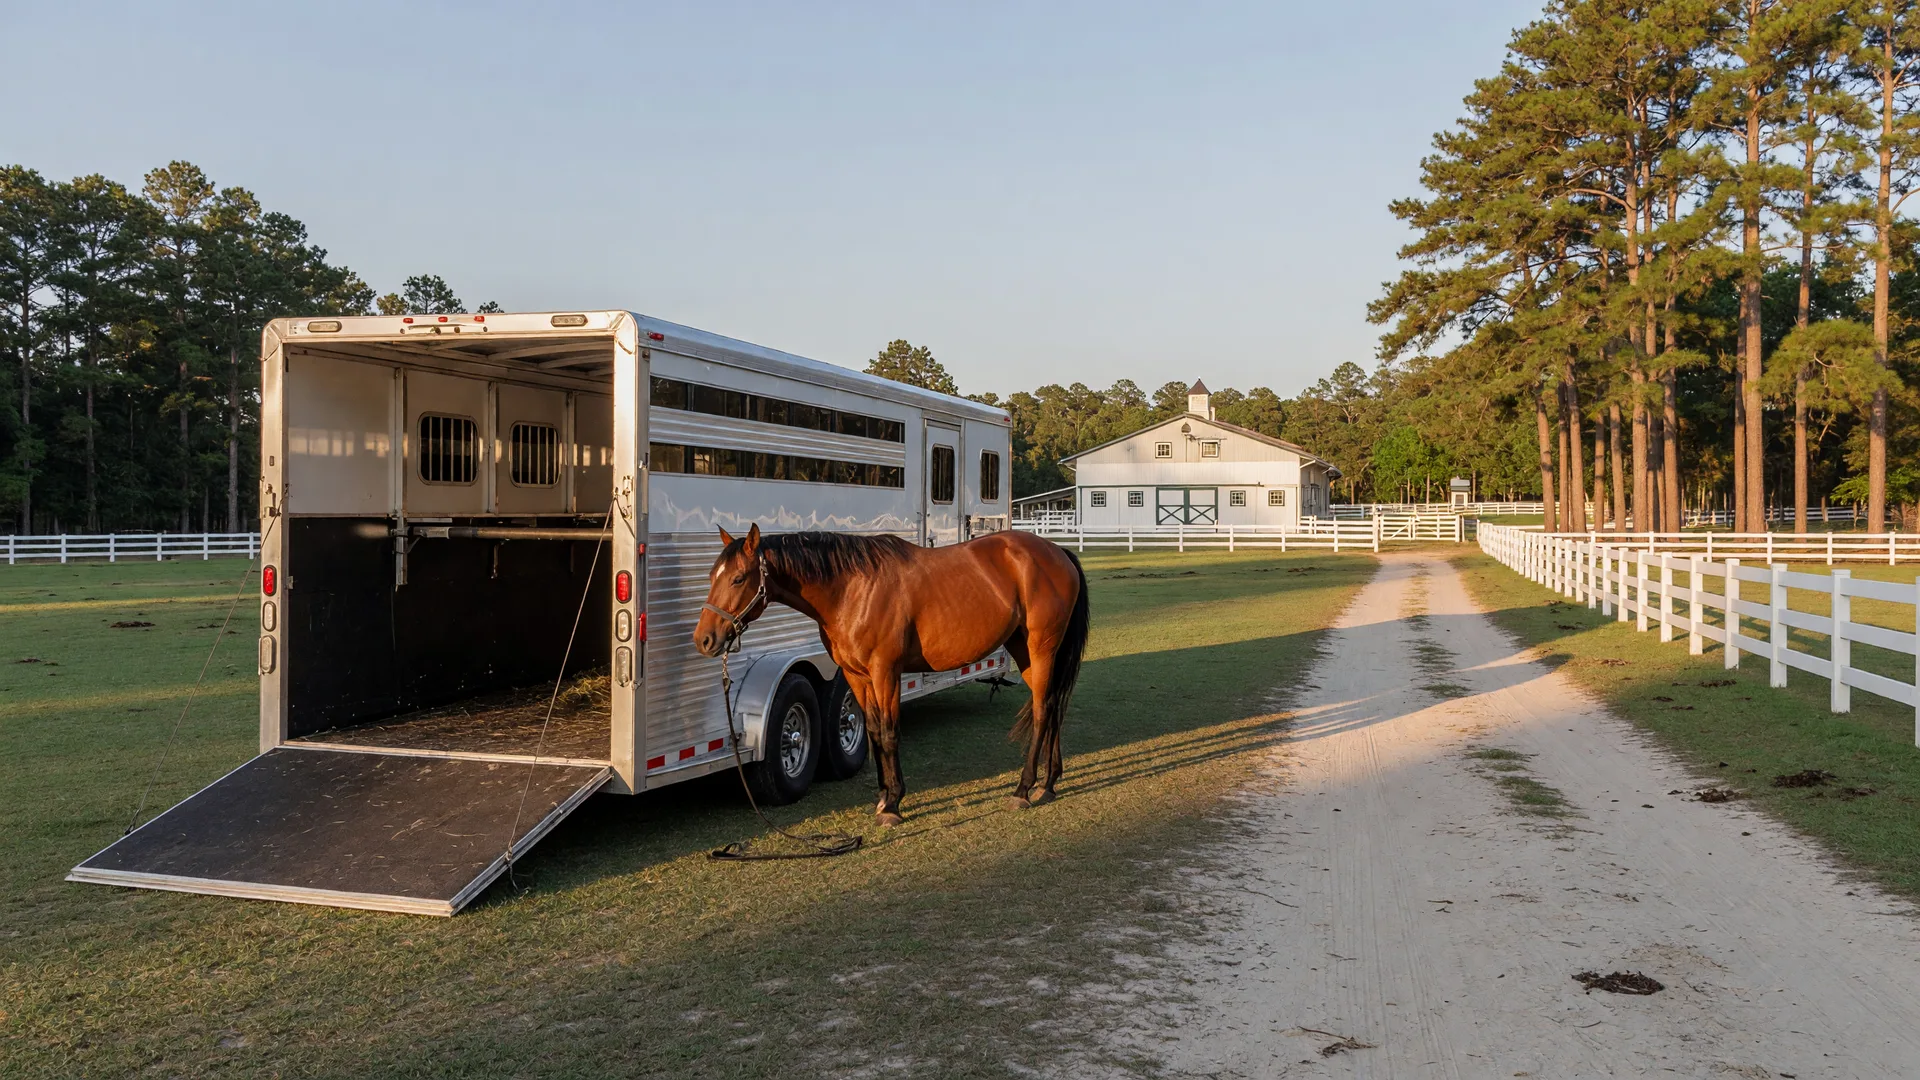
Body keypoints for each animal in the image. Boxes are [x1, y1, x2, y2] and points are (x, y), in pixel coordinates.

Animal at [693, 525, 1090, 827]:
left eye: (738, 578)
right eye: (712, 577)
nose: (704, 639)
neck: (852, 589)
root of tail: (1057, 552)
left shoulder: (886, 672)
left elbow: (888, 732)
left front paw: (894, 804)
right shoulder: (857, 675)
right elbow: (870, 730)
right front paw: (884, 798)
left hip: (1042, 648)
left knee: (1042, 711)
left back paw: (1024, 789)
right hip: (1024, 649)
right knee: (1052, 705)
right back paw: (1049, 783)